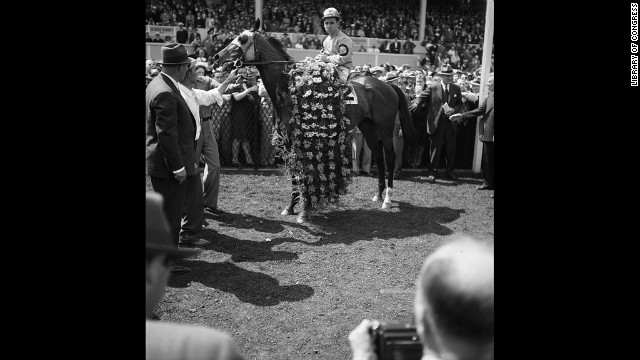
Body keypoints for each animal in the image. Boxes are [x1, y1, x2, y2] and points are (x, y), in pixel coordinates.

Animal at [212, 19, 418, 224]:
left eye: (242, 38)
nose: (216, 56)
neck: (289, 90)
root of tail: (388, 85)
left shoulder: (303, 141)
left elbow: (304, 174)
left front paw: (304, 211)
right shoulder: (288, 142)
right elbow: (295, 175)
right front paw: (290, 207)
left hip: (386, 128)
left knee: (389, 157)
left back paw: (388, 199)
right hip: (368, 128)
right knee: (378, 156)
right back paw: (378, 194)